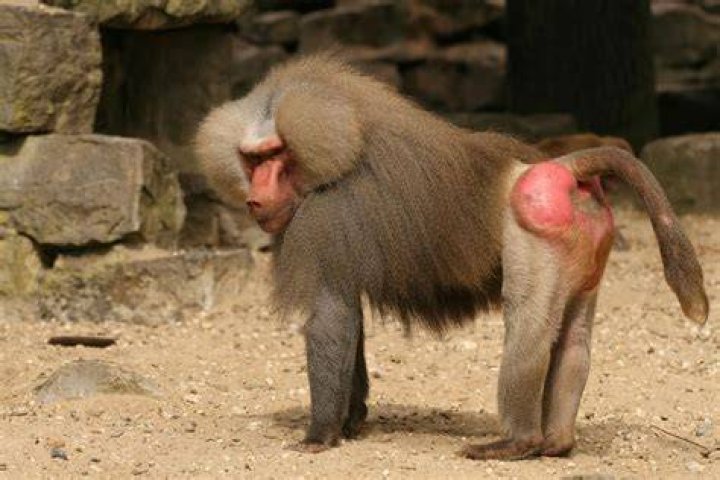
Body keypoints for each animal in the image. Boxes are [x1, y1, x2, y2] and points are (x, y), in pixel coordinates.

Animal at [195, 55, 708, 460]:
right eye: (251, 159)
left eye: (274, 156)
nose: (255, 200)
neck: (342, 146)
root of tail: (562, 166)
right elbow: (350, 326)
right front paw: (352, 420)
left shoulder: (325, 219)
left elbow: (331, 319)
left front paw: (320, 436)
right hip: (585, 250)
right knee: (574, 339)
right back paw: (557, 443)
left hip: (533, 234)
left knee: (529, 329)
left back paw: (515, 443)